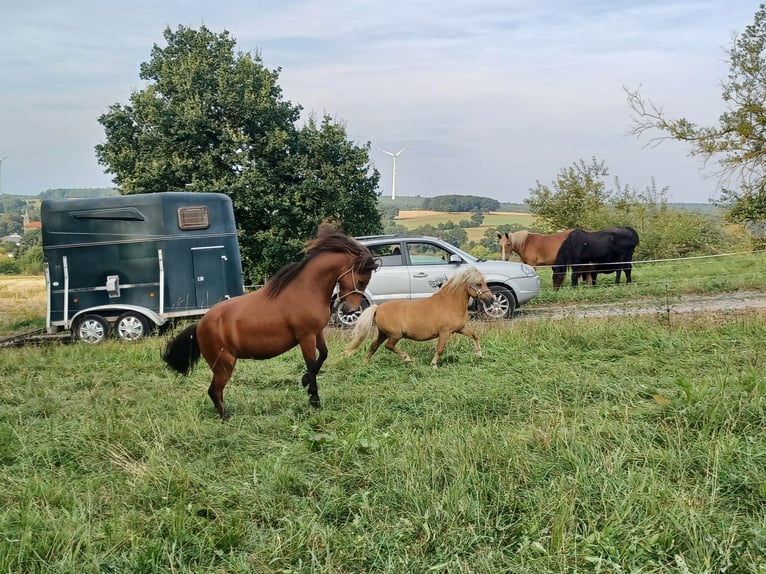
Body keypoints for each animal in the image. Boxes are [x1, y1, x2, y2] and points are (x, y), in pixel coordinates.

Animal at [162, 232, 379, 419]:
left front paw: (305, 381)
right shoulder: (306, 337)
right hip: (223, 365)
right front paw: (314, 399)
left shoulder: (317, 333)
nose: (350, 310)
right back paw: (226, 419)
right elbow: (311, 364)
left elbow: (323, 355)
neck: (306, 290)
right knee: (214, 391)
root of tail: (199, 326)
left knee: (216, 392)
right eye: (361, 280)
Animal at [344, 267, 495, 368]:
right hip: (395, 335)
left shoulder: (460, 329)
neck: (449, 303)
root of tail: (378, 308)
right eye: (478, 284)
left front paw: (479, 354)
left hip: (382, 333)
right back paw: (407, 358)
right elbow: (440, 349)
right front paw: (433, 365)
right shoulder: (444, 332)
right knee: (388, 346)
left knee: (373, 346)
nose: (492, 299)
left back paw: (365, 364)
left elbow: (474, 335)